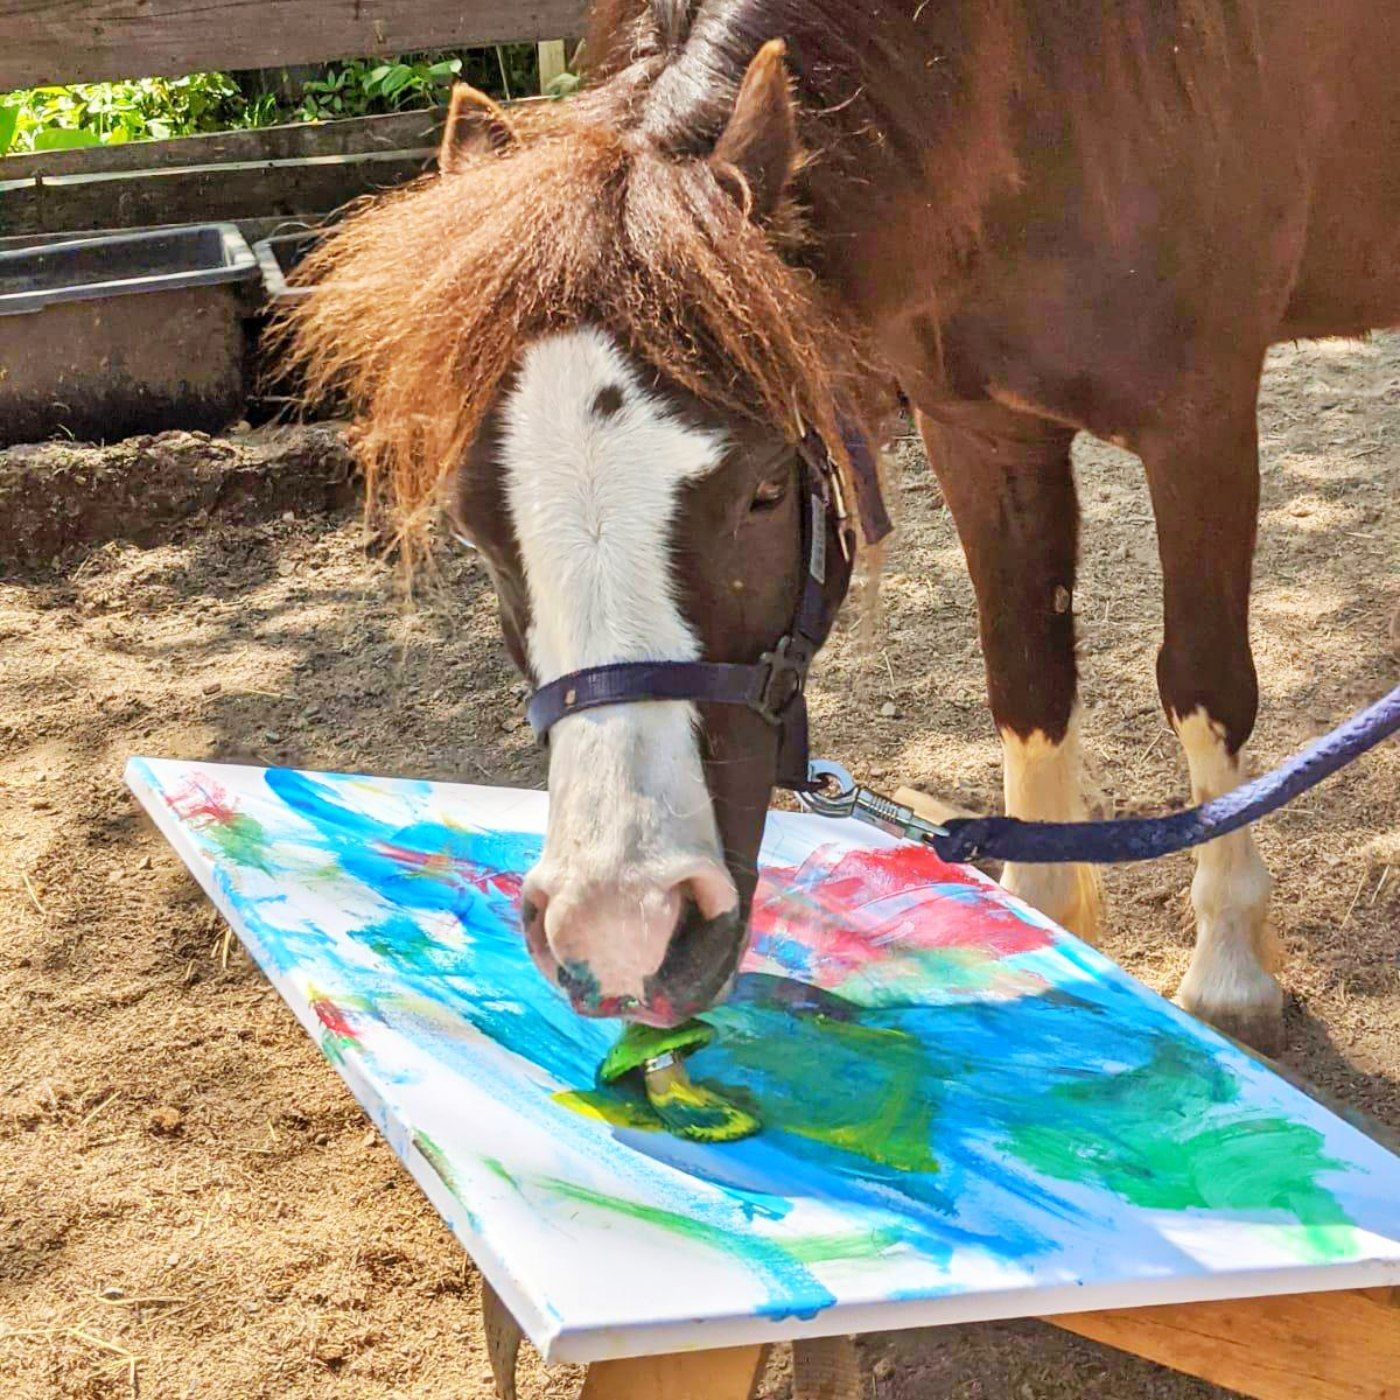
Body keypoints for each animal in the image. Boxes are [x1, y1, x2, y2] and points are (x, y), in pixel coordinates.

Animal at [286, 0, 1400, 1051]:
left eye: (766, 490)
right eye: (477, 530)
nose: (621, 925)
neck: (1035, 81)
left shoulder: (1198, 426)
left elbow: (1201, 686)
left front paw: (1230, 965)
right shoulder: (978, 434)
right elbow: (1026, 676)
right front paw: (1051, 926)